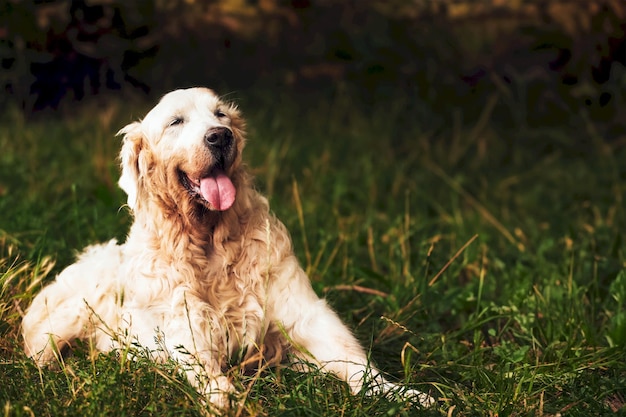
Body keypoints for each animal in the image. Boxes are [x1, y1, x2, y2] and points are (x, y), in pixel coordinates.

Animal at [20, 86, 434, 408]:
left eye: (220, 114)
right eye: (176, 122)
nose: (220, 136)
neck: (210, 242)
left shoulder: (303, 313)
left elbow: (356, 364)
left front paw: (405, 394)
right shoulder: (185, 319)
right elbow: (201, 362)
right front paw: (223, 395)